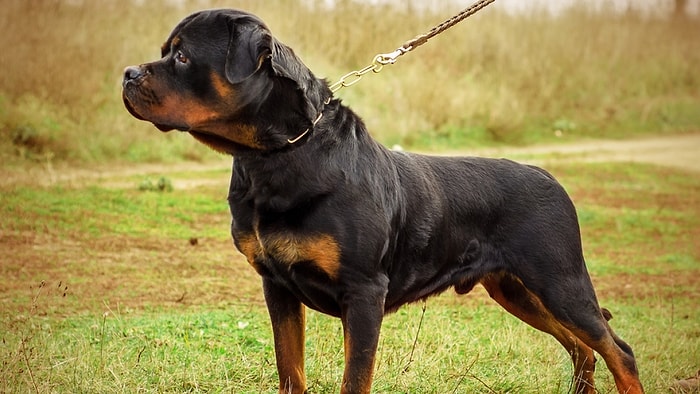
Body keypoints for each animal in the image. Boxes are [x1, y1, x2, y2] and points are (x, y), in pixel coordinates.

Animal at [121, 9, 644, 394]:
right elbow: (290, 371)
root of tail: (547, 175)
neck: (277, 156)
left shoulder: (364, 292)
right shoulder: (278, 286)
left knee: (616, 350)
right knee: (582, 349)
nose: (127, 72)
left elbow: (355, 378)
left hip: (559, 281)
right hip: (517, 289)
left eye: (182, 56)